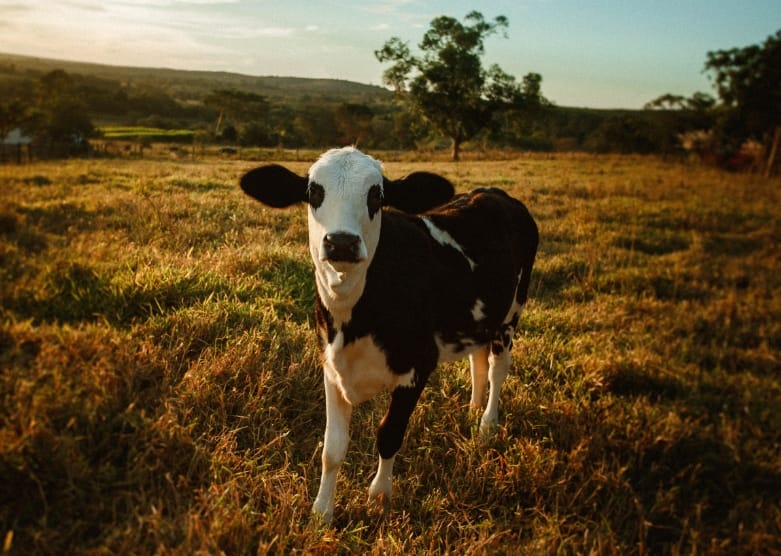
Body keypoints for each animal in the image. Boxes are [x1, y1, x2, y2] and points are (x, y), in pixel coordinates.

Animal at [240, 147, 538, 522]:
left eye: (376, 195)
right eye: (313, 192)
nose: (341, 242)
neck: (352, 319)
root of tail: (493, 192)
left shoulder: (418, 367)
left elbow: (389, 434)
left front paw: (379, 496)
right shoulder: (331, 366)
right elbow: (332, 448)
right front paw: (322, 512)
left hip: (512, 312)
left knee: (499, 368)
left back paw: (487, 424)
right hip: (482, 318)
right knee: (478, 361)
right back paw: (472, 410)